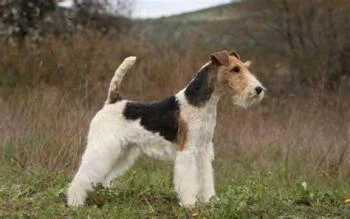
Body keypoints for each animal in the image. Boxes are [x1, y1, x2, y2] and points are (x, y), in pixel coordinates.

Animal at [67, 49, 266, 207]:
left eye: (245, 67)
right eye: (235, 69)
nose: (258, 89)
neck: (202, 104)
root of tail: (113, 100)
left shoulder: (203, 149)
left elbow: (205, 177)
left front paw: (209, 199)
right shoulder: (188, 150)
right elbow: (188, 180)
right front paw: (189, 204)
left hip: (123, 151)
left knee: (105, 177)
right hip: (104, 147)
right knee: (83, 175)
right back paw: (75, 202)